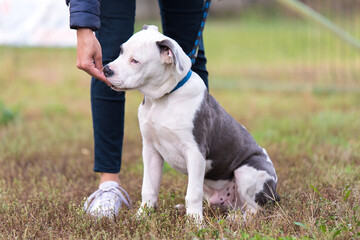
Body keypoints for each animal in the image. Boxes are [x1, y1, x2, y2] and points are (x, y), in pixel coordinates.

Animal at [102, 25, 280, 222]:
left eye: (135, 61)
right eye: (121, 51)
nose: (106, 69)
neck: (163, 98)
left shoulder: (195, 152)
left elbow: (192, 193)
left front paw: (195, 223)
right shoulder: (150, 150)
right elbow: (149, 188)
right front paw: (142, 216)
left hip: (248, 171)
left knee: (254, 209)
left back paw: (235, 220)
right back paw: (184, 209)